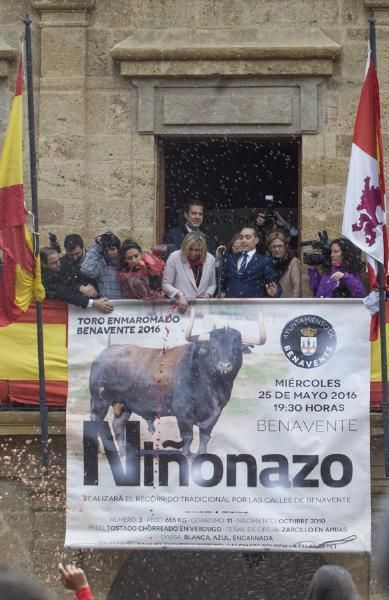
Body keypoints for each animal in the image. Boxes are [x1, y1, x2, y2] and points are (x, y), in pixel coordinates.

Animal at [89, 310, 266, 454]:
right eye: (213, 347)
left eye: (235, 349)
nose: (224, 366)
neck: (211, 386)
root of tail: (103, 354)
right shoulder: (183, 413)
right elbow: (188, 438)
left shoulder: (215, 414)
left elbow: (204, 438)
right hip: (100, 401)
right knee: (96, 421)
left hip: (125, 405)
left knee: (117, 425)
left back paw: (124, 452)